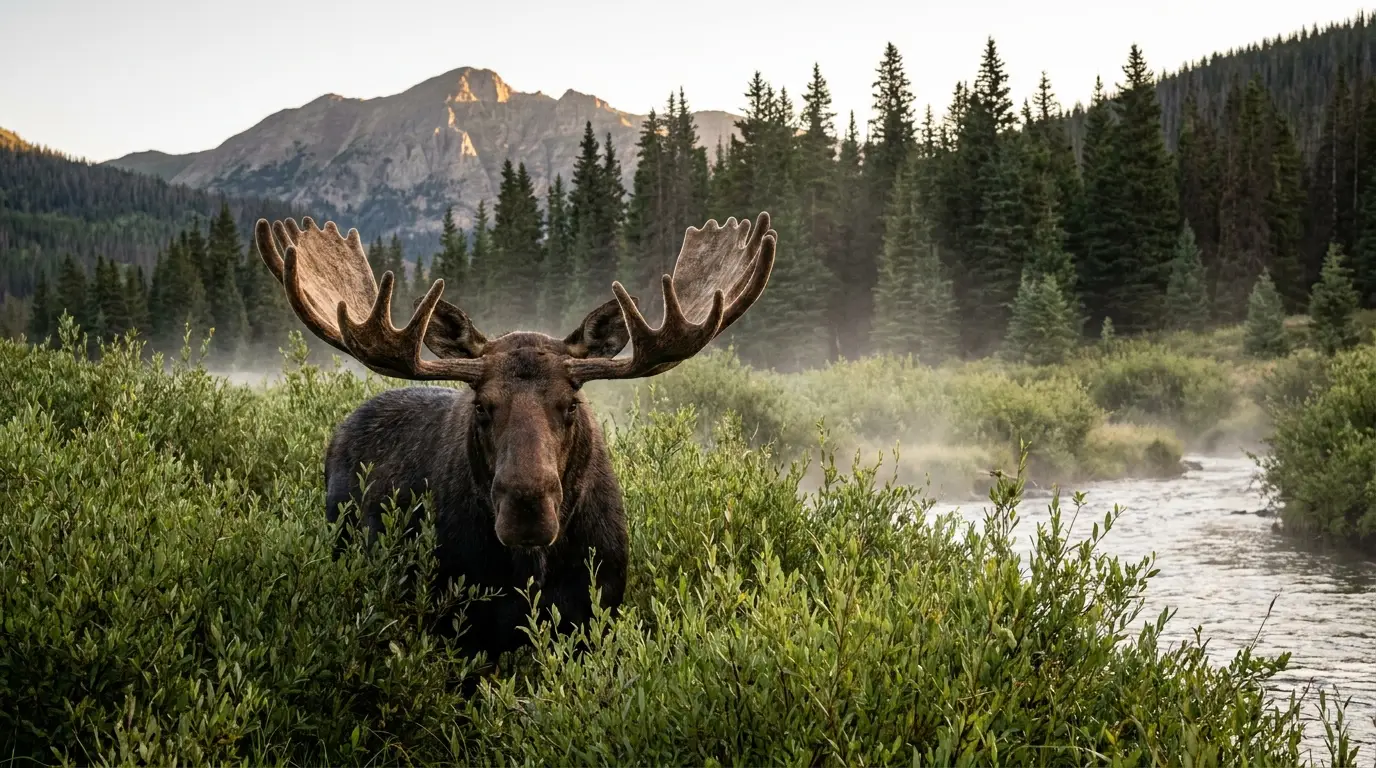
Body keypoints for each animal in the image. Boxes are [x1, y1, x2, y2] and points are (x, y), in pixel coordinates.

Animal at [253, 211, 776, 662]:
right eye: (482, 405)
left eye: (571, 404)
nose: (527, 509)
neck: (534, 569)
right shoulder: (461, 627)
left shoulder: (595, 615)